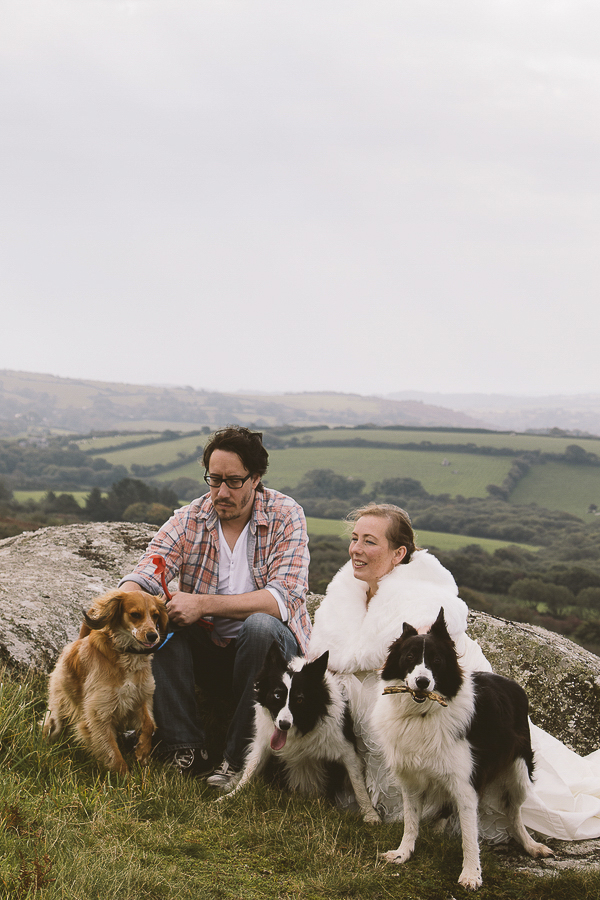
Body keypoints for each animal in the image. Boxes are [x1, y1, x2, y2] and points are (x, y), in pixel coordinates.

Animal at [42, 592, 169, 772]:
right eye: (135, 615)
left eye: (155, 615)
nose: (153, 636)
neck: (127, 657)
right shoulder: (99, 713)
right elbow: (112, 753)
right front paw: (125, 777)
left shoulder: (139, 698)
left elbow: (149, 724)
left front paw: (142, 752)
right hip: (59, 710)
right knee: (51, 725)